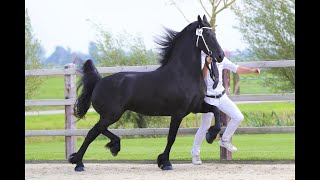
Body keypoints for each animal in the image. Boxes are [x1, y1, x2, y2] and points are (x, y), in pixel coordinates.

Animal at [69, 14, 225, 171]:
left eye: (214, 34)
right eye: (207, 34)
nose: (220, 56)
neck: (183, 74)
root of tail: (99, 82)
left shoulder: (196, 107)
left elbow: (216, 110)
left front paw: (211, 135)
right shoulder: (178, 112)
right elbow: (171, 137)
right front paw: (165, 162)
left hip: (110, 115)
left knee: (99, 130)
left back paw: (112, 147)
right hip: (111, 114)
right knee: (93, 132)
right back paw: (78, 163)